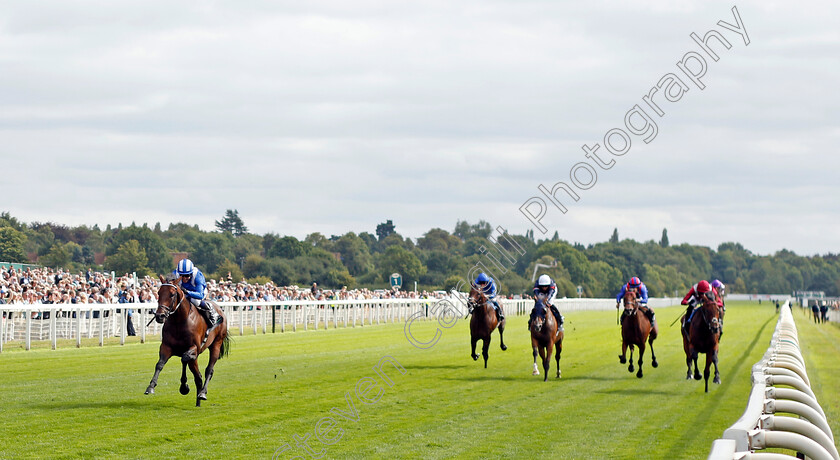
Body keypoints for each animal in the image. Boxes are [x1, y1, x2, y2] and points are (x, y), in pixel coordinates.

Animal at [144, 274, 230, 406]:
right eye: (158, 293)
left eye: (172, 294)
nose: (160, 316)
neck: (179, 321)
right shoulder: (166, 347)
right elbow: (160, 364)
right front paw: (151, 387)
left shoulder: (194, 347)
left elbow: (185, 358)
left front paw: (184, 387)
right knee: (198, 376)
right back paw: (198, 401)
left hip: (216, 343)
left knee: (208, 370)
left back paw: (202, 393)